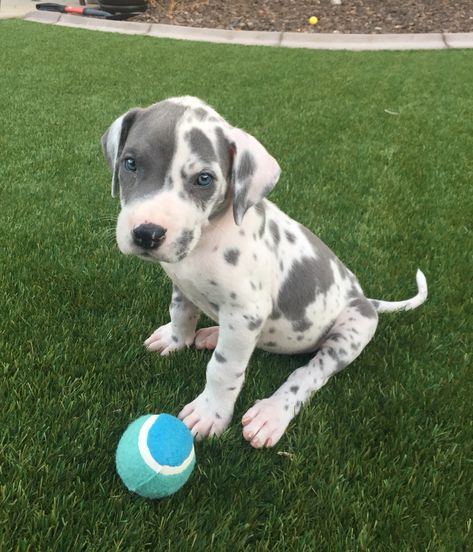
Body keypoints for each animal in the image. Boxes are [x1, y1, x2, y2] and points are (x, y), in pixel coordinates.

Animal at [100, 95, 428, 448]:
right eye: (130, 163)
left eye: (204, 179)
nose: (147, 234)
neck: (208, 238)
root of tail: (366, 299)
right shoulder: (184, 286)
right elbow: (181, 313)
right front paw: (176, 339)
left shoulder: (246, 312)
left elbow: (223, 369)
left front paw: (210, 413)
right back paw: (212, 334)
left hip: (351, 330)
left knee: (309, 374)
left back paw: (271, 413)